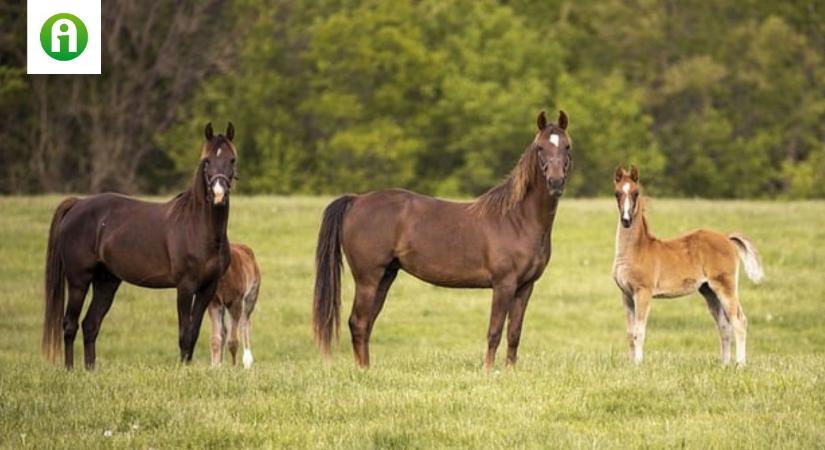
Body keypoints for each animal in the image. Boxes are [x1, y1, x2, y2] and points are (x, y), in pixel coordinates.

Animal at [43, 123, 237, 370]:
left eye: (232, 159)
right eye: (207, 161)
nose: (219, 195)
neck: (198, 228)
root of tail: (78, 204)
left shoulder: (208, 288)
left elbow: (193, 334)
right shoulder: (185, 287)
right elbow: (184, 334)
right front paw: (183, 370)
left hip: (106, 282)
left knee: (90, 324)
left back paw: (90, 370)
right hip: (79, 280)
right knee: (70, 324)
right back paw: (70, 370)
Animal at [312, 110, 568, 370]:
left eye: (567, 146)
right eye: (540, 147)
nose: (556, 182)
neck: (516, 219)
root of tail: (356, 200)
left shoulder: (525, 286)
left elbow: (514, 333)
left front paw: (510, 371)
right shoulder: (503, 284)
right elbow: (494, 331)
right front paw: (488, 371)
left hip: (385, 276)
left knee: (366, 324)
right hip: (367, 278)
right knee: (358, 322)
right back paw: (363, 371)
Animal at [608, 165, 764, 366]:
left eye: (636, 193)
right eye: (617, 193)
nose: (626, 220)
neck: (636, 250)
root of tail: (726, 237)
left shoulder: (643, 292)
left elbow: (639, 331)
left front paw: (639, 364)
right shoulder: (626, 295)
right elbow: (629, 333)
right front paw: (631, 364)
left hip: (726, 286)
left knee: (739, 321)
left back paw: (740, 364)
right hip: (709, 291)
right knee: (723, 325)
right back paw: (724, 365)